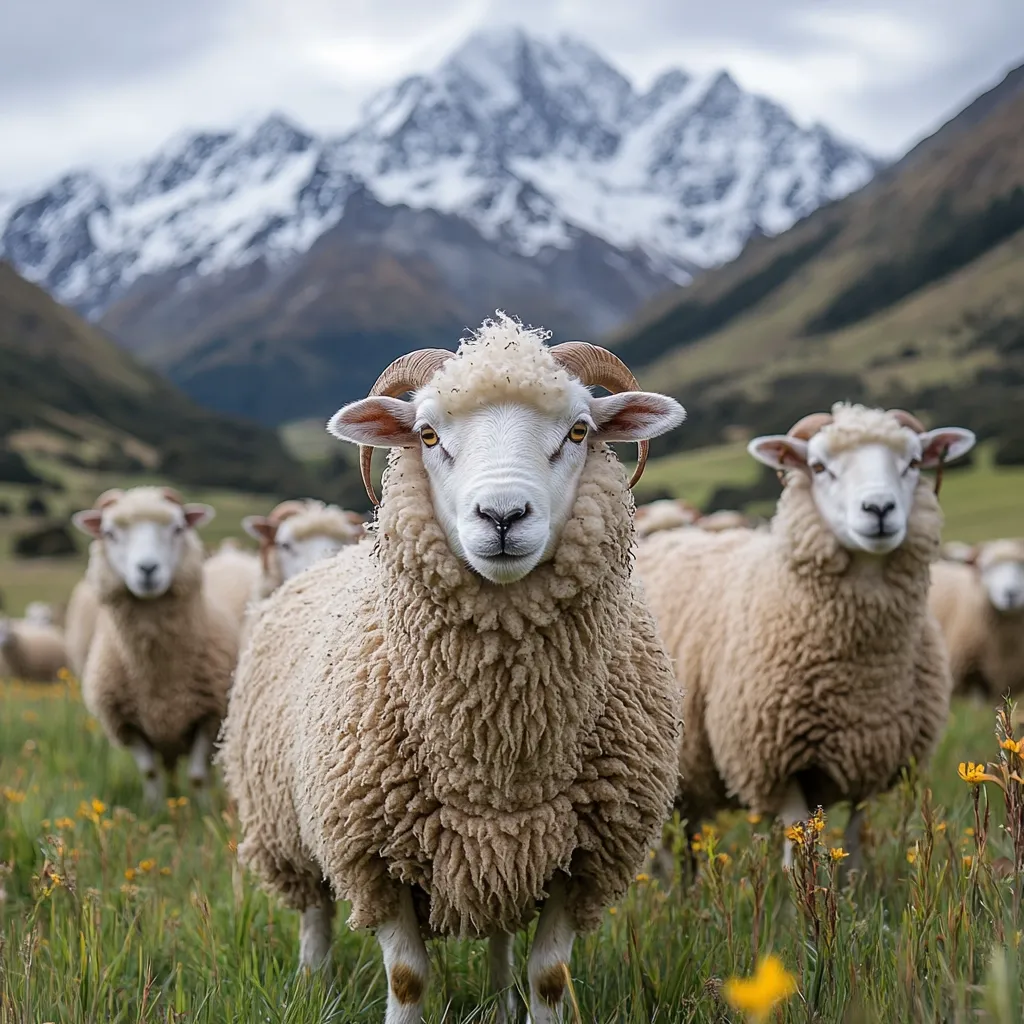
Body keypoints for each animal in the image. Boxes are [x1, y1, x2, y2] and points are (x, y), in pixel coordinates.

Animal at [70, 486, 242, 806]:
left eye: (177, 528)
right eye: (109, 533)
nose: (148, 568)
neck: (157, 675)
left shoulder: (210, 716)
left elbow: (198, 775)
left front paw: (205, 810)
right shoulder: (126, 724)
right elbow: (150, 773)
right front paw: (155, 809)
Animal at [219, 315, 686, 1024]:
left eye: (580, 431)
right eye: (428, 434)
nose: (502, 516)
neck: (498, 749)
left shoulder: (582, 861)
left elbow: (550, 977)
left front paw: (528, 1001)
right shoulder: (371, 856)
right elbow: (409, 978)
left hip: (499, 862)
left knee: (498, 933)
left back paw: (500, 1000)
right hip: (285, 828)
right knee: (314, 913)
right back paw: (312, 985)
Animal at [636, 403, 976, 874]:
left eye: (912, 463)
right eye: (818, 467)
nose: (879, 508)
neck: (865, 673)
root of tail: (668, 537)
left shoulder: (874, 756)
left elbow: (855, 845)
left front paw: (855, 887)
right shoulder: (776, 761)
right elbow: (797, 845)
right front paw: (798, 893)